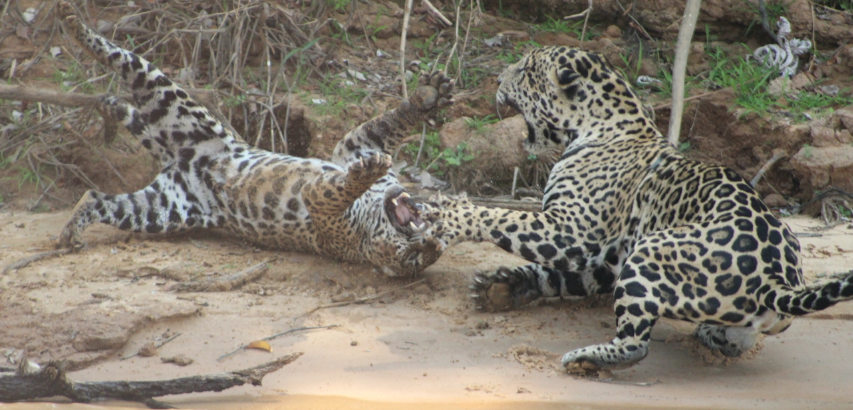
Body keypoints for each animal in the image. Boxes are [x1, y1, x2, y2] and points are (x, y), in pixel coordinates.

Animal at [55, 2, 454, 276]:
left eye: (415, 258)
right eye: (421, 245)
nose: (430, 240)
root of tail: (182, 160)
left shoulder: (324, 207)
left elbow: (337, 187)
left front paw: (366, 171)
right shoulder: (353, 146)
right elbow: (385, 126)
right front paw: (428, 96)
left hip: (162, 205)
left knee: (100, 197)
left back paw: (73, 228)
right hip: (178, 116)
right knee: (119, 57)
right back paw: (74, 24)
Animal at [423, 46, 853, 372]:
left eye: (527, 71)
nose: (497, 79)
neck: (609, 124)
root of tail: (775, 279)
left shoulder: (570, 232)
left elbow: (502, 216)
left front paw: (447, 214)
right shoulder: (607, 260)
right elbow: (555, 277)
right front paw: (499, 287)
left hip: (650, 252)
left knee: (635, 346)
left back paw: (586, 359)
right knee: (736, 339)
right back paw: (713, 336)